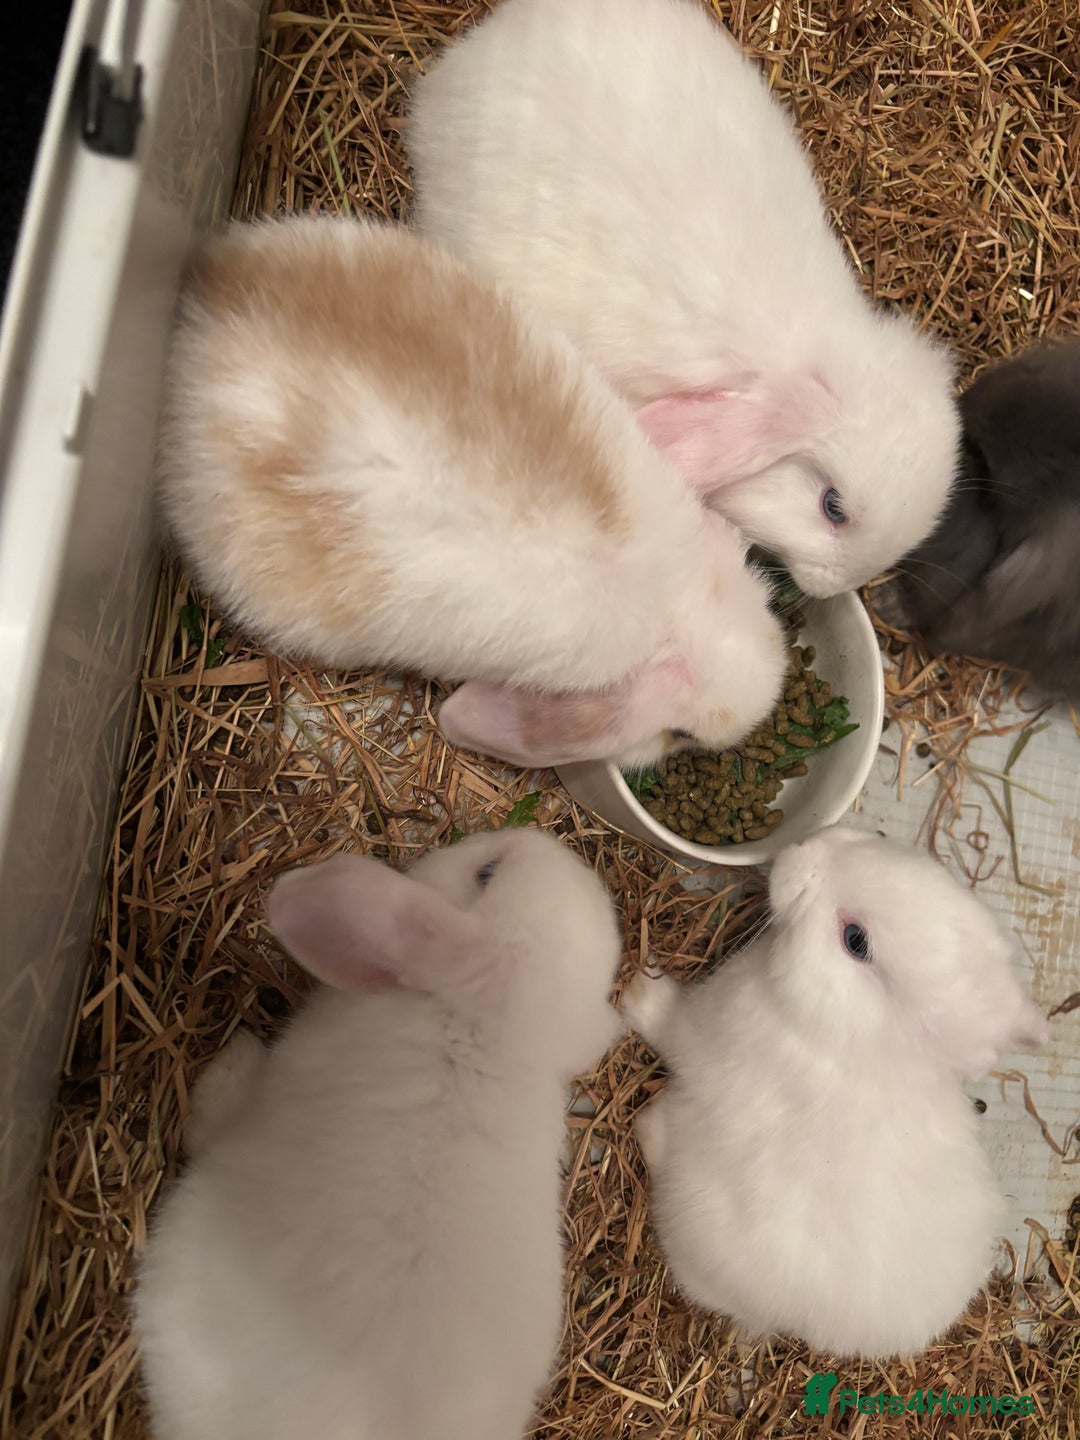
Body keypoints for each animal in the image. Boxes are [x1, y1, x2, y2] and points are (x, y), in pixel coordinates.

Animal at [622, 825, 1049, 1359]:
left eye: (856, 940)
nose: (806, 848)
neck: (856, 1036)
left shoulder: (705, 1033)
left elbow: (669, 1025)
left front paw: (637, 991)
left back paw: (647, 1124)